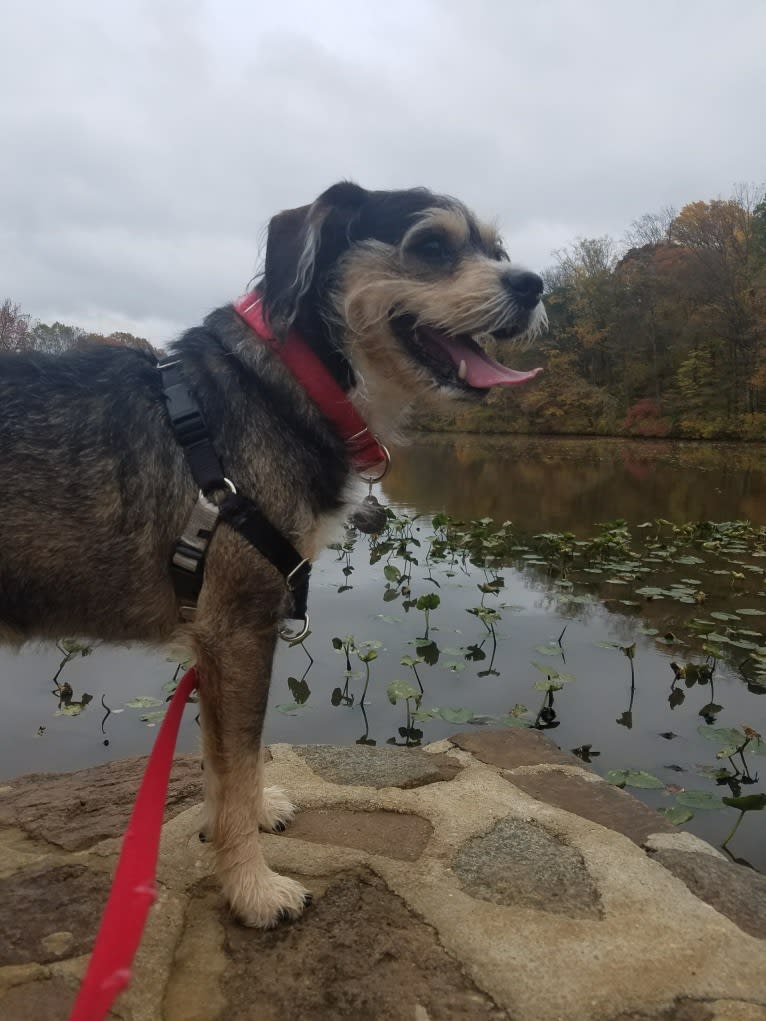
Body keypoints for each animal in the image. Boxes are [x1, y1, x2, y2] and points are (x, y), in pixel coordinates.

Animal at [0, 181, 547, 927]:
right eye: (432, 245)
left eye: (497, 248)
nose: (534, 283)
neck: (284, 381)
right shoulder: (238, 626)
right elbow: (239, 755)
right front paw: (252, 887)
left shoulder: (220, 638)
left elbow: (232, 758)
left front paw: (250, 820)